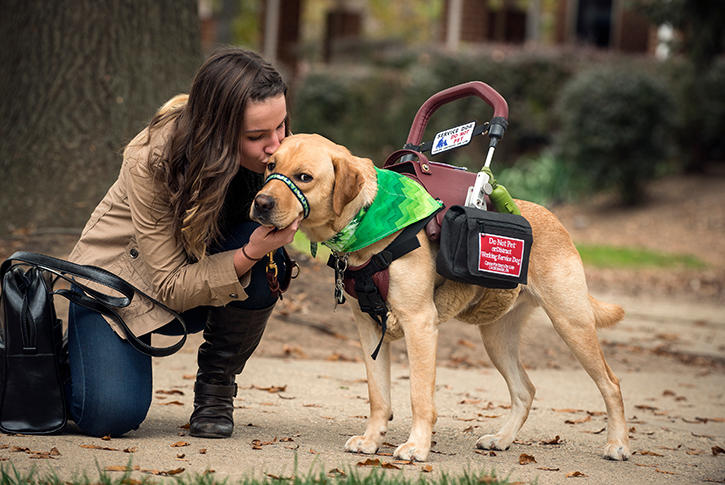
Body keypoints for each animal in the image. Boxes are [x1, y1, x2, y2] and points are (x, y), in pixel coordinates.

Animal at [253, 132, 628, 462]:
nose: (260, 203)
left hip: (571, 322)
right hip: (497, 337)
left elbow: (419, 396)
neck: (367, 220)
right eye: (271, 165)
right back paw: (502, 439)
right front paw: (372, 440)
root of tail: (554, 219)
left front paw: (417, 447)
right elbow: (378, 395)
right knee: (526, 390)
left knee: (611, 384)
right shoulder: (368, 327)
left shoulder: (419, 323)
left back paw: (618, 444)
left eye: (304, 177)